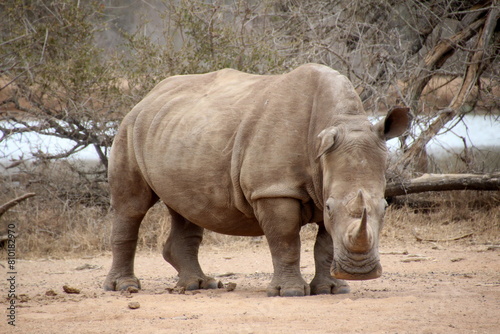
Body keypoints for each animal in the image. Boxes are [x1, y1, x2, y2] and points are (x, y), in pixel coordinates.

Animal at [103, 64, 408, 296]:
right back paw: (124, 287)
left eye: (384, 207)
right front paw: (290, 292)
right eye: (331, 207)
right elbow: (285, 239)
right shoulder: (273, 189)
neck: (340, 121)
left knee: (186, 206)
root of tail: (147, 97)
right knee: (132, 206)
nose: (360, 272)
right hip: (129, 128)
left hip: (177, 130)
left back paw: (199, 285)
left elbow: (324, 244)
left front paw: (332, 289)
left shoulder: (324, 182)